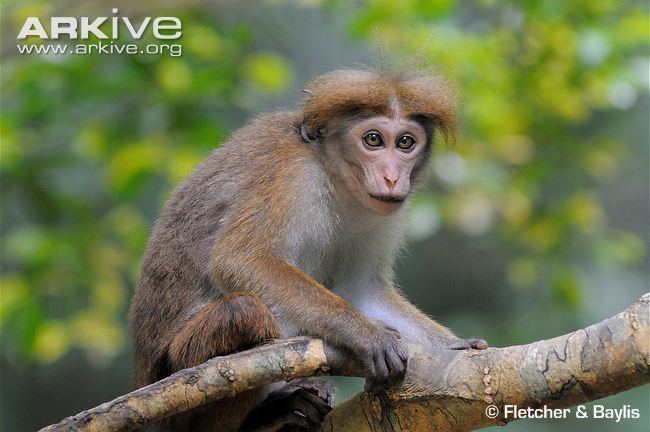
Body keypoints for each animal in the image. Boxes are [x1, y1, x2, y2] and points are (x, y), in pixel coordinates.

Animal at [130, 66, 486, 430]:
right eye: (373, 140)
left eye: (405, 142)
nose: (392, 178)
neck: (332, 174)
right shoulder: (288, 173)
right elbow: (241, 260)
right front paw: (366, 334)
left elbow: (361, 289)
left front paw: (456, 345)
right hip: (178, 373)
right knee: (246, 311)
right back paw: (265, 415)